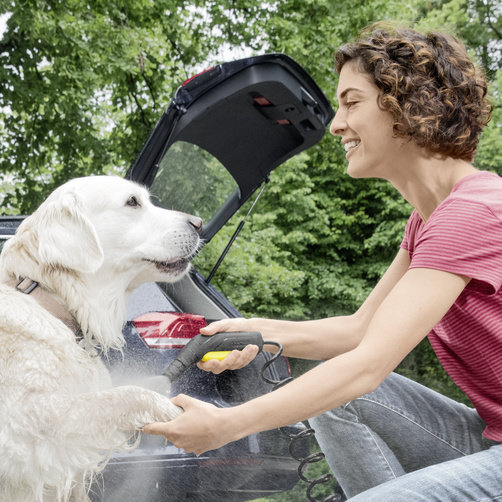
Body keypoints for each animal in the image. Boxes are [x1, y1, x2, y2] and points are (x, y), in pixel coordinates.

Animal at [0, 175, 204, 500]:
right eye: (132, 202)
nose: (199, 224)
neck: (45, 296)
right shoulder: (30, 425)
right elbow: (127, 394)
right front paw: (174, 412)